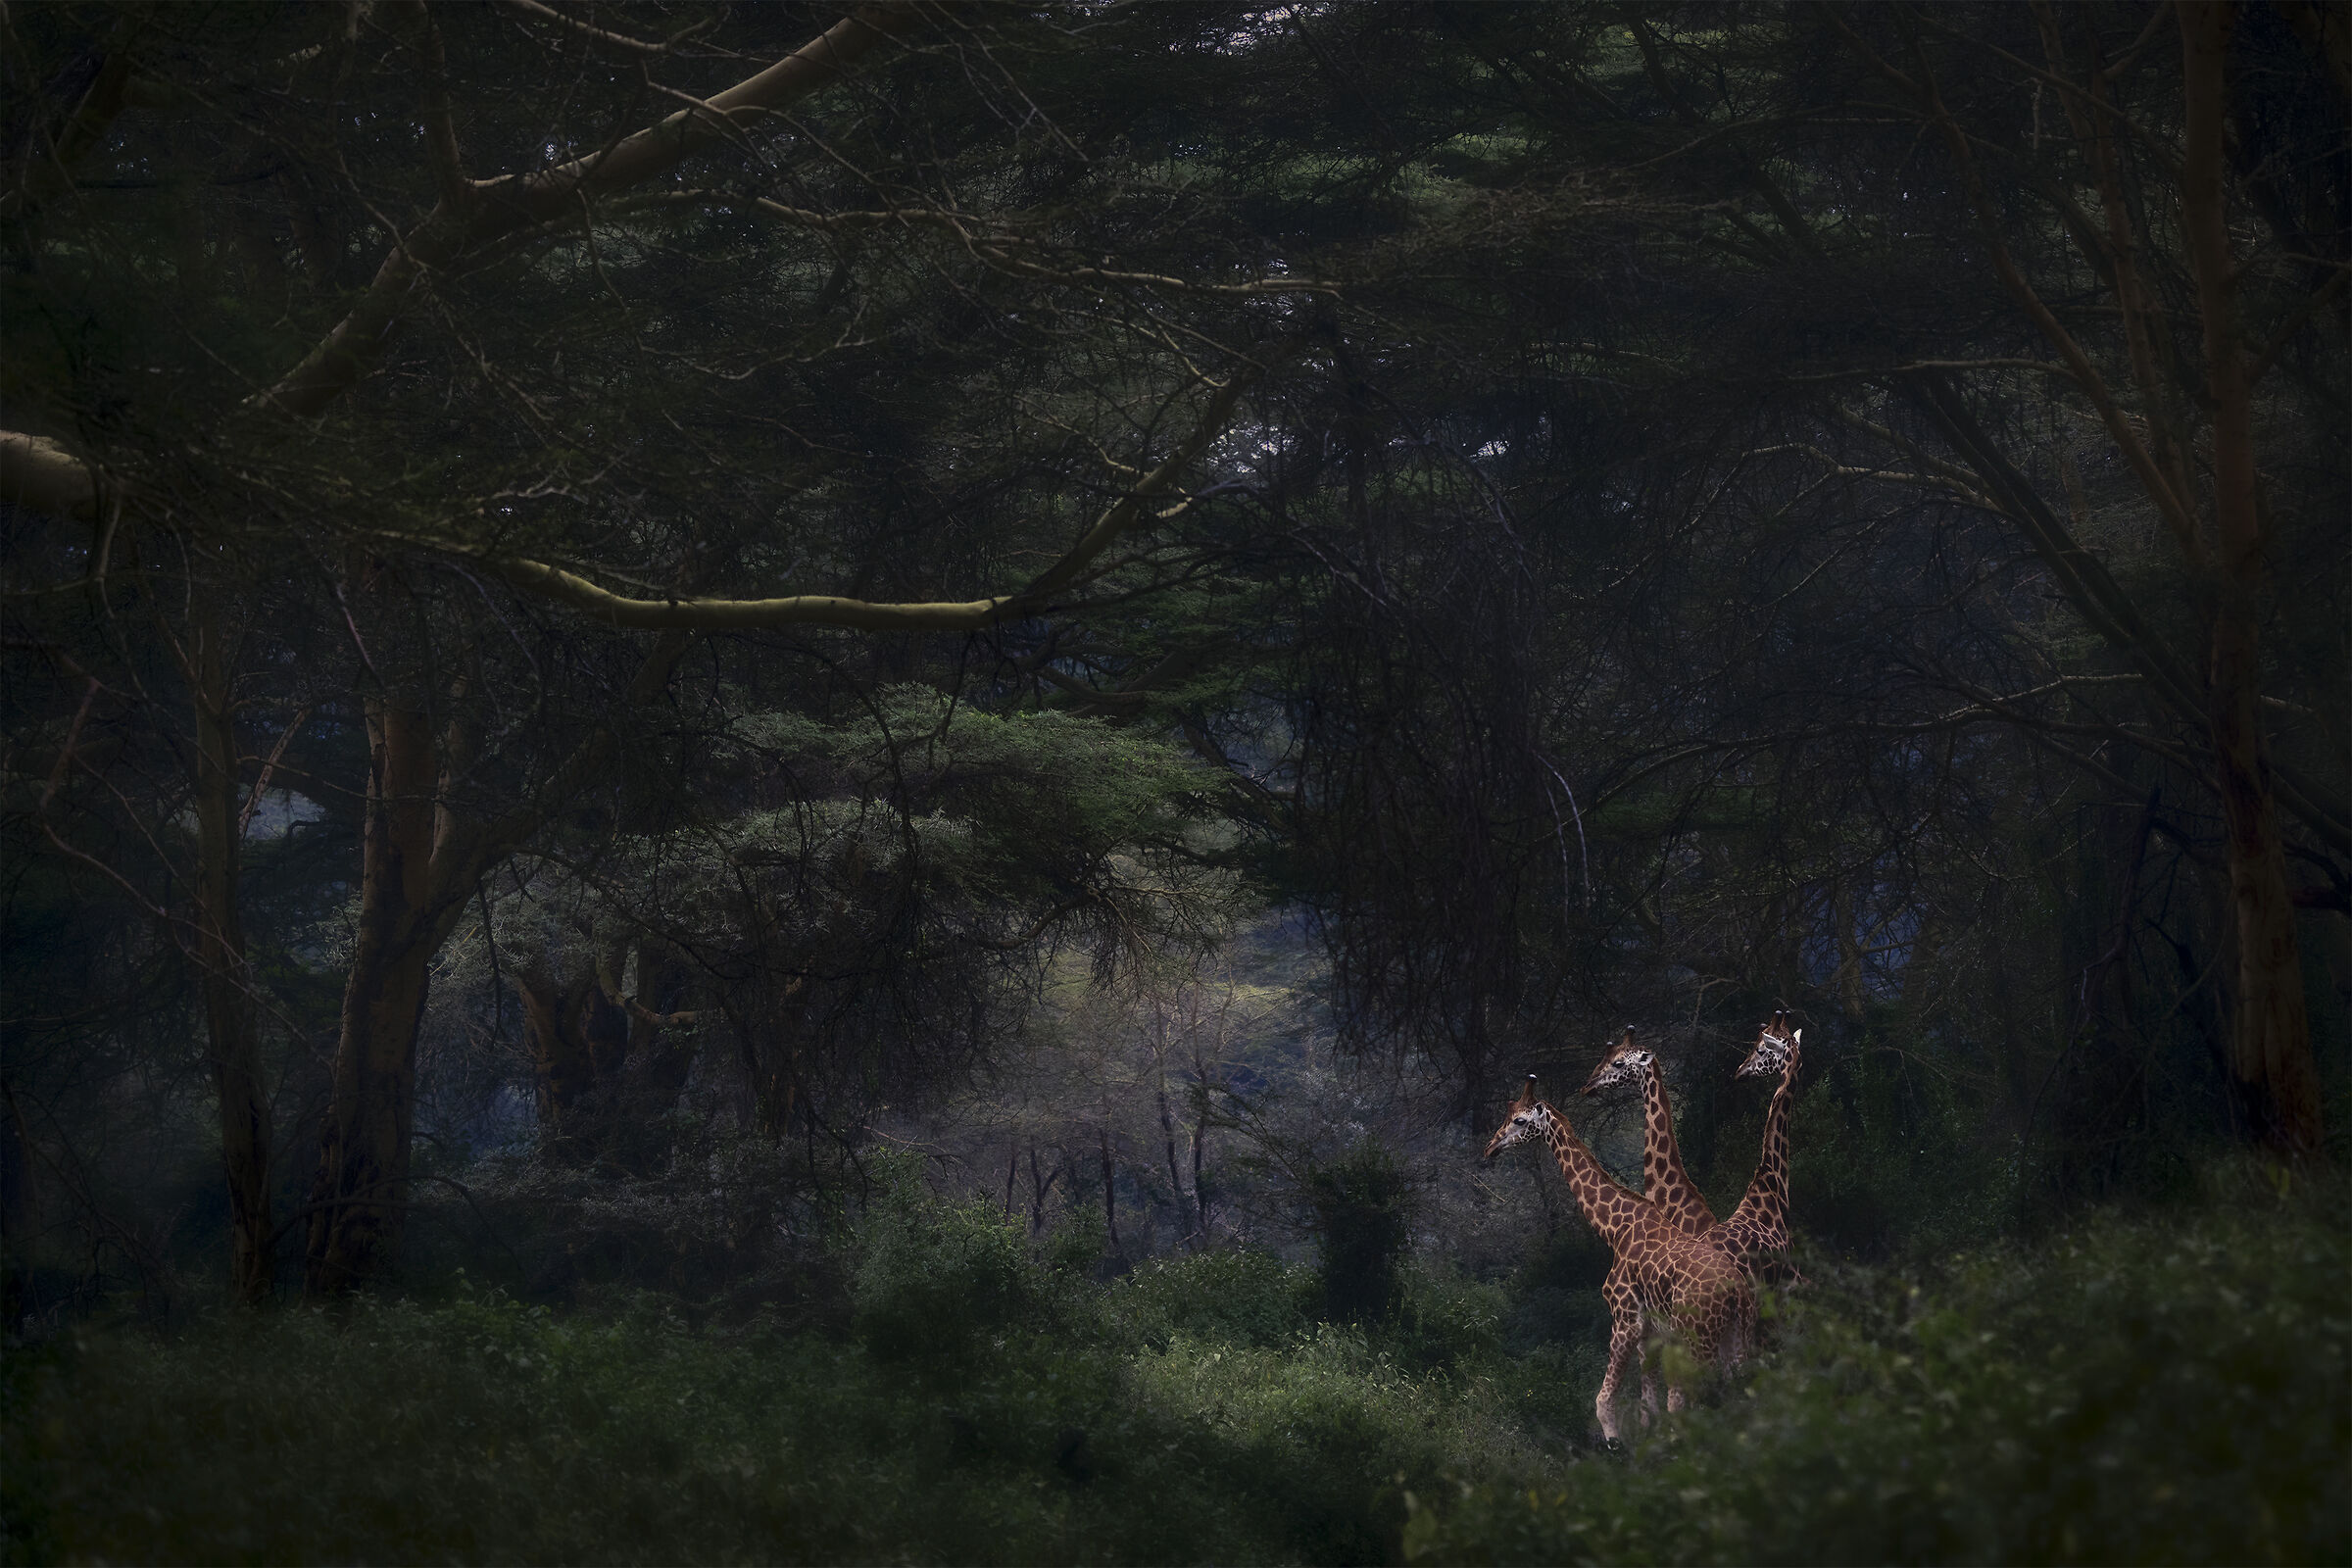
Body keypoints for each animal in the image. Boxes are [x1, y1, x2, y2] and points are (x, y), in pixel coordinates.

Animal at [1484, 1075, 1753, 1442]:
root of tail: (1735, 1290)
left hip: (1699, 1339)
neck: (1614, 1229)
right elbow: (1651, 1407)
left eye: (1520, 1121)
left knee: (1706, 1399)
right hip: (1734, 1335)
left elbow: (1604, 1402)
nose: (1490, 1148)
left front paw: (1616, 1442)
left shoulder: (1625, 1320)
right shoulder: (1651, 1333)